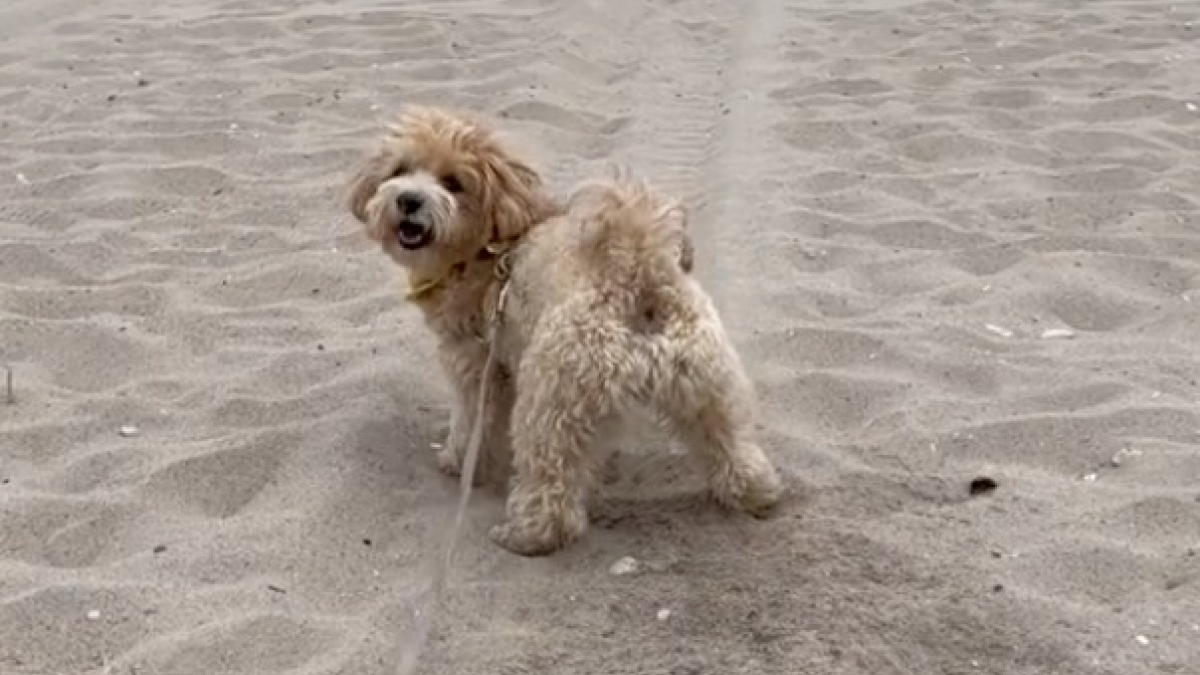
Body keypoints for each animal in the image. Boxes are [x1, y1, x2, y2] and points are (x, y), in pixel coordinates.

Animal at [343, 107, 782, 554]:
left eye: (453, 182)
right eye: (399, 170)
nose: (408, 200)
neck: (488, 247)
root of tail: (635, 270)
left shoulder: (475, 366)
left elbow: (471, 421)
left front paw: (460, 461)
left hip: (551, 399)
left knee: (551, 486)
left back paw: (525, 536)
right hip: (706, 385)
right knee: (733, 448)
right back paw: (756, 495)